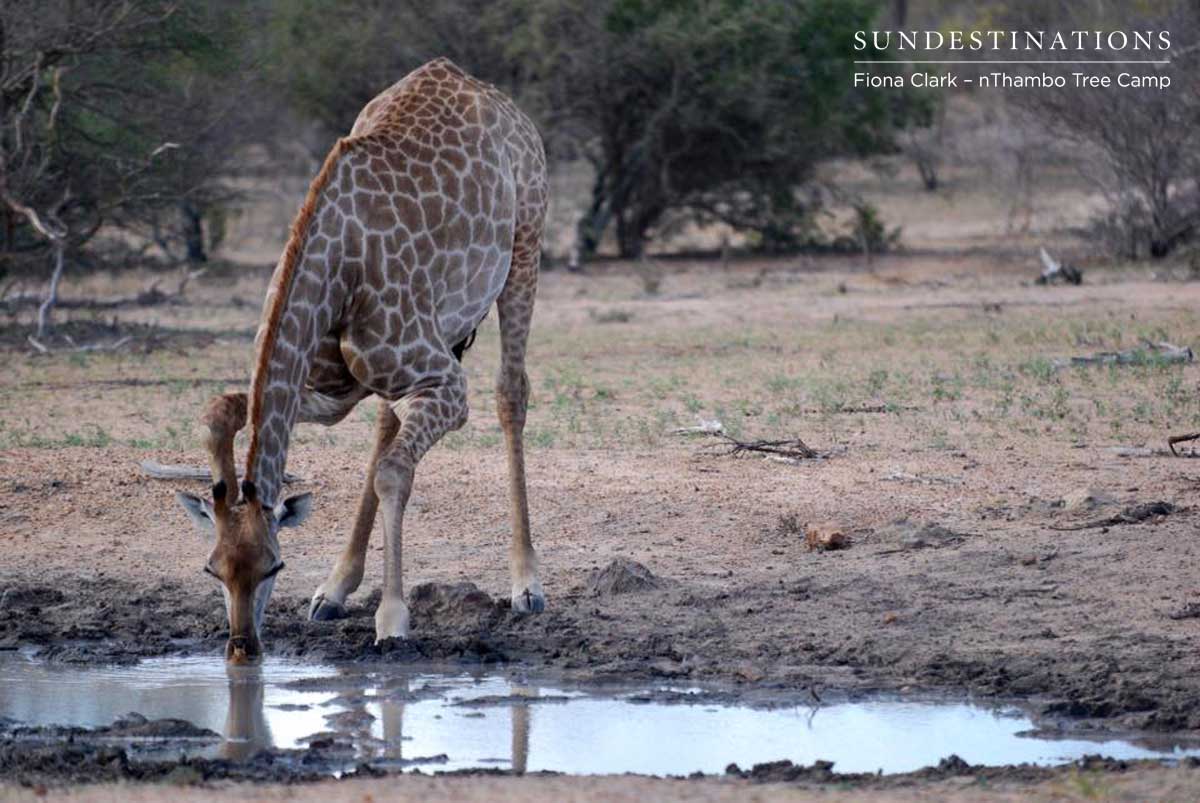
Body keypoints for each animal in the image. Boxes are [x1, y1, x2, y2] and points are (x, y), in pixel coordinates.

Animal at [174, 58, 548, 663]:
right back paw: (333, 589)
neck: (335, 268)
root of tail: (491, 95)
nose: (242, 648)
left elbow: (393, 474)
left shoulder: (447, 384)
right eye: (213, 571)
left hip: (525, 246)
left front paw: (392, 618)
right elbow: (220, 413)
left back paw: (527, 584)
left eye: (274, 566)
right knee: (388, 423)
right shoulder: (332, 388)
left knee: (510, 391)